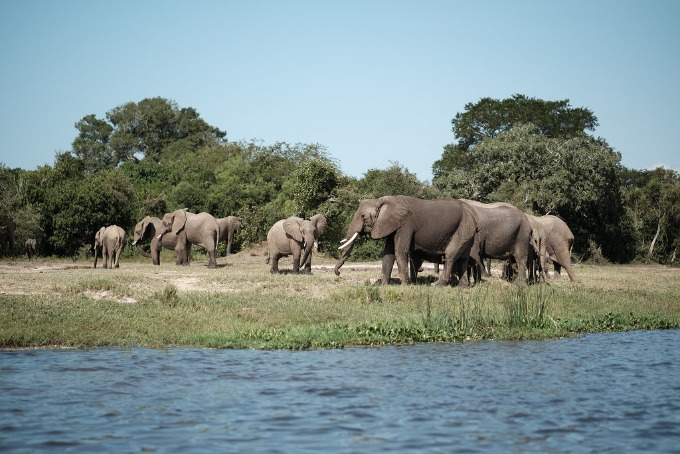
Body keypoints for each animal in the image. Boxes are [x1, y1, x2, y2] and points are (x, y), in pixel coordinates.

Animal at [334, 196, 478, 287]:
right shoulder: (392, 225)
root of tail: (473, 214)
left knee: (450, 255)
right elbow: (388, 253)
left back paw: (436, 285)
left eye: (363, 216)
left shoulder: (405, 225)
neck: (382, 201)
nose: (338, 273)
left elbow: (400, 251)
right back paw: (463, 286)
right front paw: (384, 285)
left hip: (464, 228)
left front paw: (404, 285)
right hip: (466, 231)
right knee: (462, 259)